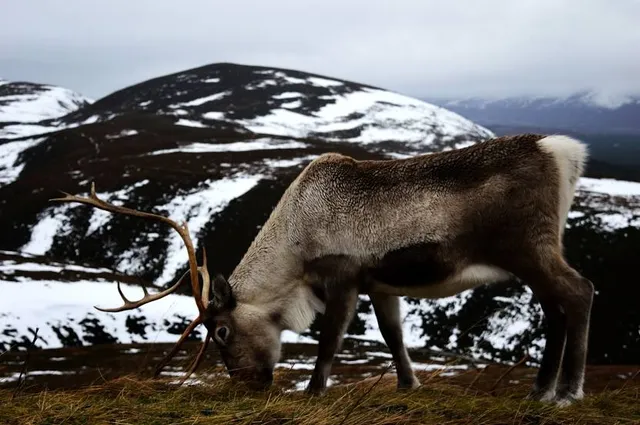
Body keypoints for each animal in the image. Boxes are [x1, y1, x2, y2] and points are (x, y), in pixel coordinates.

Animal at [51, 133, 593, 407]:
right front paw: (408, 386)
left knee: (579, 291)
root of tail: (564, 152)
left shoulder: (344, 275)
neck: (295, 242)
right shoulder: (381, 283)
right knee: (557, 307)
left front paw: (313, 391)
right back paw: (542, 389)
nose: (249, 384)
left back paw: (565, 393)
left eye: (220, 331)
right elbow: (394, 336)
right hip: (534, 255)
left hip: (528, 247)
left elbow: (329, 339)